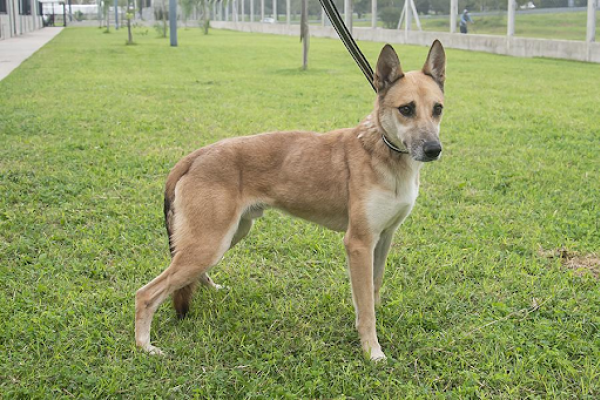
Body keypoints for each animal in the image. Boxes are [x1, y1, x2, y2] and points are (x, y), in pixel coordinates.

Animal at [136, 39, 446, 360]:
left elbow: (372, 292)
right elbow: (366, 305)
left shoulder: (383, 238)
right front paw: (372, 350)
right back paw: (145, 345)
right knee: (145, 294)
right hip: (209, 243)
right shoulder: (359, 243)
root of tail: (194, 156)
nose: (433, 149)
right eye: (406, 109)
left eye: (437, 109)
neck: (382, 151)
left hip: (228, 235)